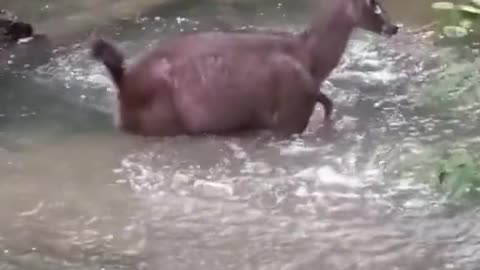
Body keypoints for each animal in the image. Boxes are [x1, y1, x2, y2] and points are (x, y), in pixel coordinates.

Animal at [92, 0, 400, 136]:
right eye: (373, 4)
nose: (394, 27)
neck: (307, 56)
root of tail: (124, 81)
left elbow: (329, 104)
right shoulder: (290, 114)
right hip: (164, 120)